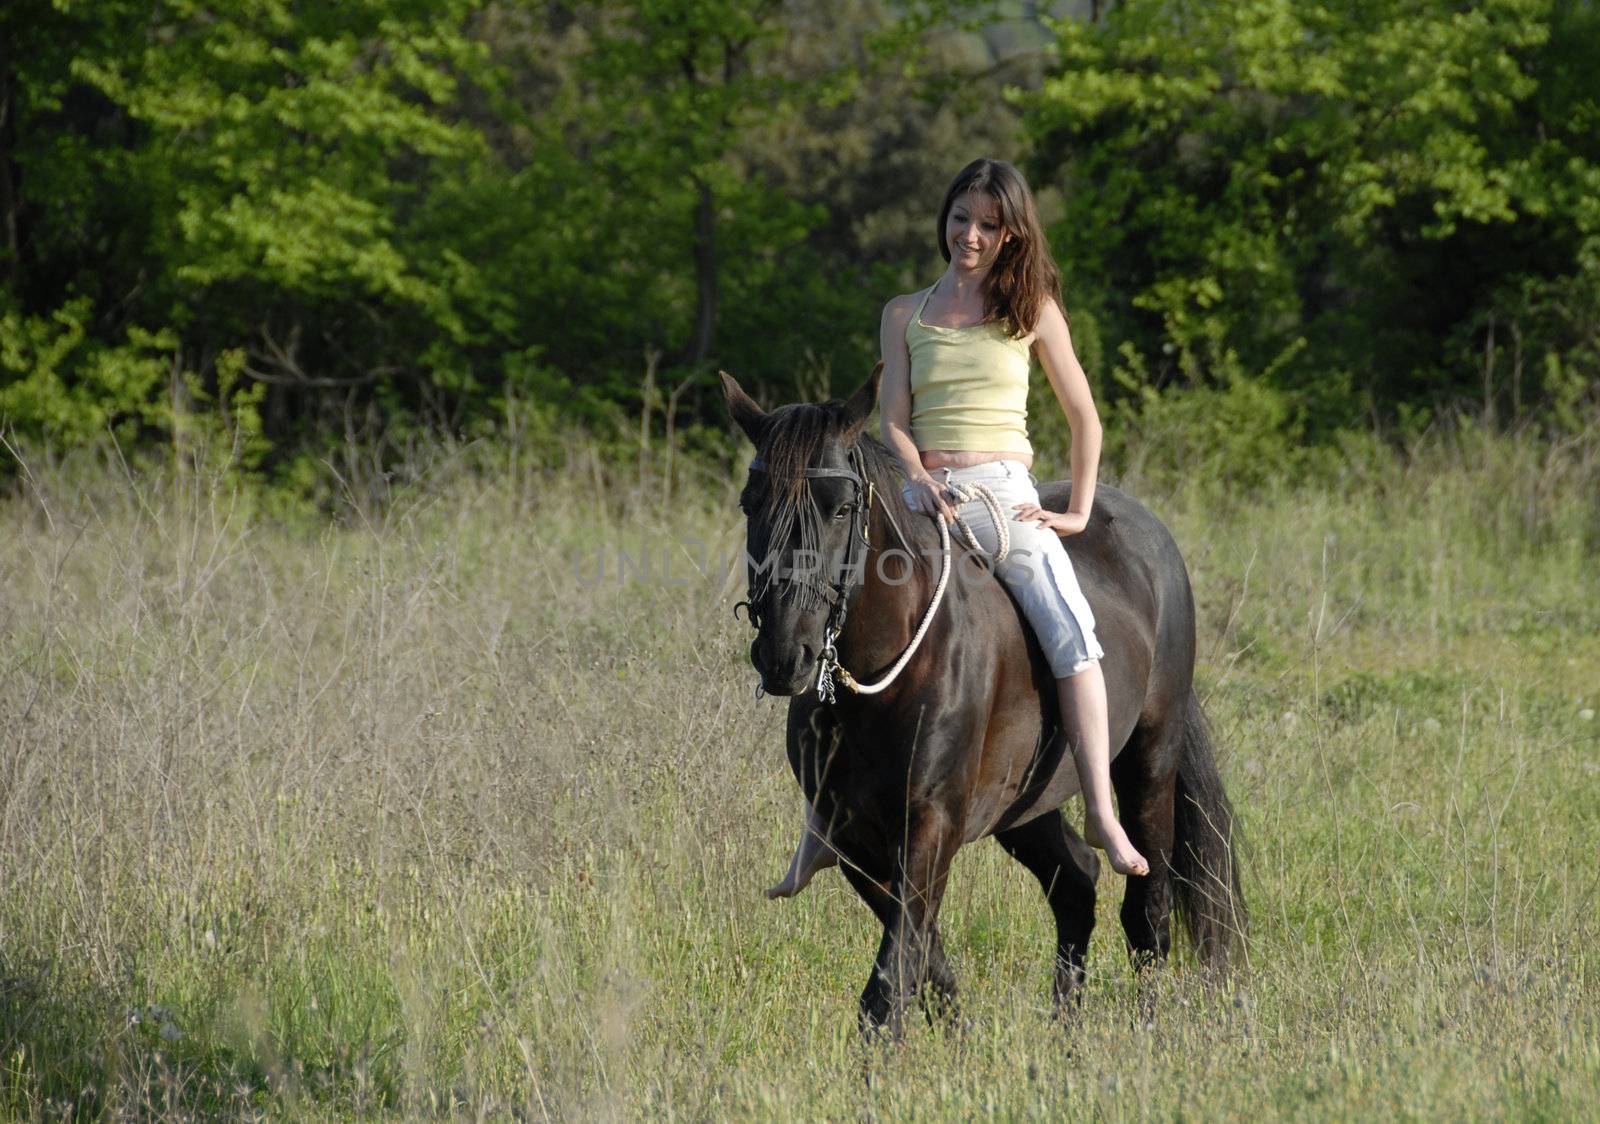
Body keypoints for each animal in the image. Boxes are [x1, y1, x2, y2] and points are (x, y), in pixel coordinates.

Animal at [726, 369, 1248, 1037]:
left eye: (841, 507)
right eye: (751, 504)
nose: (784, 654)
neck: (881, 676)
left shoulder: (931, 824)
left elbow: (889, 987)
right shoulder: (856, 842)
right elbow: (922, 963)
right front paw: (957, 1041)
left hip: (1148, 765)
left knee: (1147, 912)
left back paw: (1143, 1033)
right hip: (1025, 803)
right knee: (1076, 882)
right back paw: (1065, 1036)